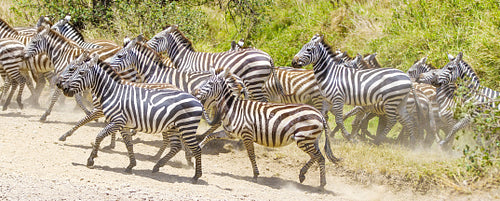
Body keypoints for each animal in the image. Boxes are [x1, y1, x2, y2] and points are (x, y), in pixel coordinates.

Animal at [55, 51, 203, 181]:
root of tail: (197, 100)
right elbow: (129, 144)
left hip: (186, 127)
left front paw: (91, 159)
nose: (63, 88)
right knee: (176, 146)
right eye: (73, 70)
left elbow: (98, 134)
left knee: (196, 148)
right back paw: (157, 166)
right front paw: (131, 165)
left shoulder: (117, 121)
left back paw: (196, 176)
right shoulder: (123, 125)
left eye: (79, 72)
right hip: (174, 127)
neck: (111, 92)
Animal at [146, 24, 276, 101]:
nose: (145, 45)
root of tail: (268, 56)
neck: (186, 58)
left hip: (254, 81)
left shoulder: (190, 77)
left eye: (156, 38)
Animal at [191, 68, 340, 187]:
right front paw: (197, 151)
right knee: (317, 156)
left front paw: (256, 175)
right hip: (310, 139)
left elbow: (251, 154)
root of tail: (319, 114)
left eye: (209, 84)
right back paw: (303, 175)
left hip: (304, 139)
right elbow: (209, 136)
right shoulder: (230, 133)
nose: (195, 92)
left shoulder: (246, 134)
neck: (234, 108)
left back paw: (321, 184)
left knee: (319, 157)